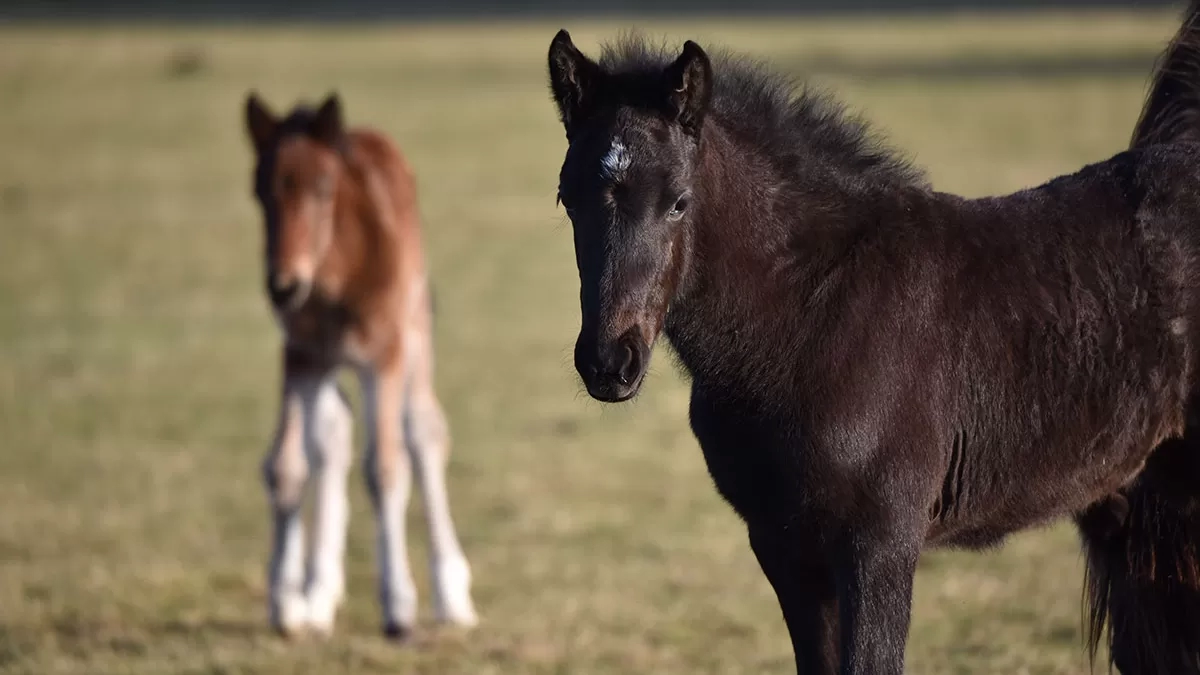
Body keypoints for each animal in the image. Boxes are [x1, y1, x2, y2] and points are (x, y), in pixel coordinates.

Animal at [244, 93, 478, 641]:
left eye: (324, 188)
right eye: (259, 191)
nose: (283, 285)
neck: (333, 281)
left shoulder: (383, 354)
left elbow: (386, 467)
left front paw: (399, 606)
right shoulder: (301, 356)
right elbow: (286, 465)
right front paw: (285, 604)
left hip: (414, 330)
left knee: (423, 431)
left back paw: (452, 593)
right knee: (333, 434)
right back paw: (317, 594)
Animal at [546, 5, 1200, 672]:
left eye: (679, 203)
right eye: (567, 199)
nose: (609, 362)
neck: (812, 318)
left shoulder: (879, 544)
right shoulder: (783, 547)